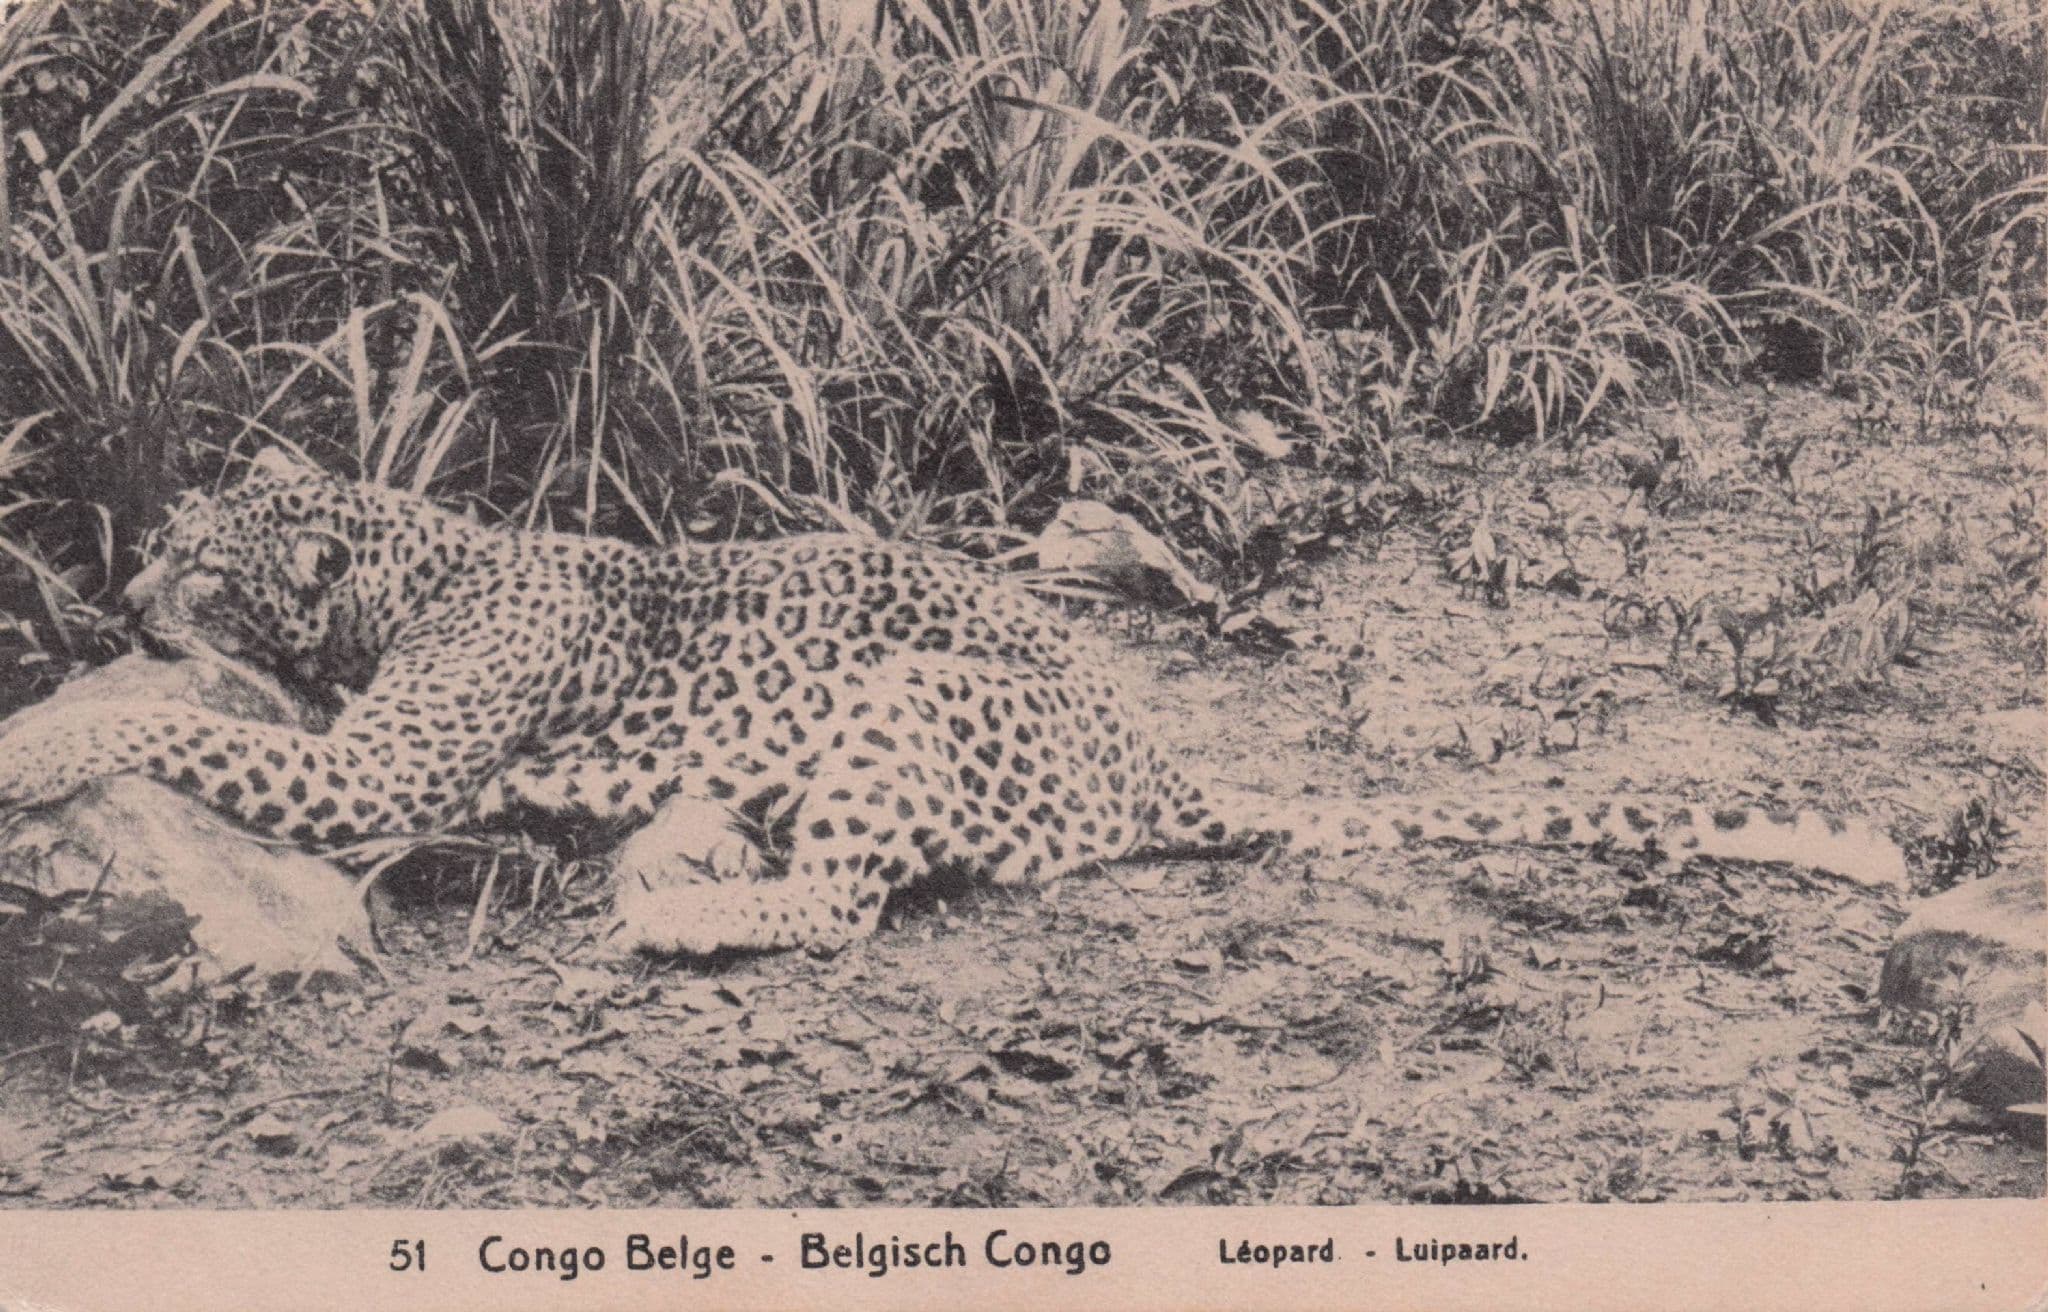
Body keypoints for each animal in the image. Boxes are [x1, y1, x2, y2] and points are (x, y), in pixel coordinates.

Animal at [0, 447, 1908, 956]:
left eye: (198, 568)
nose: (119, 598)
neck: (417, 554)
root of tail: (1154, 761)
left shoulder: (373, 766)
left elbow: (186, 723)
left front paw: (44, 741)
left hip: (913, 689)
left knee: (843, 905)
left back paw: (673, 917)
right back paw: (676, 860)